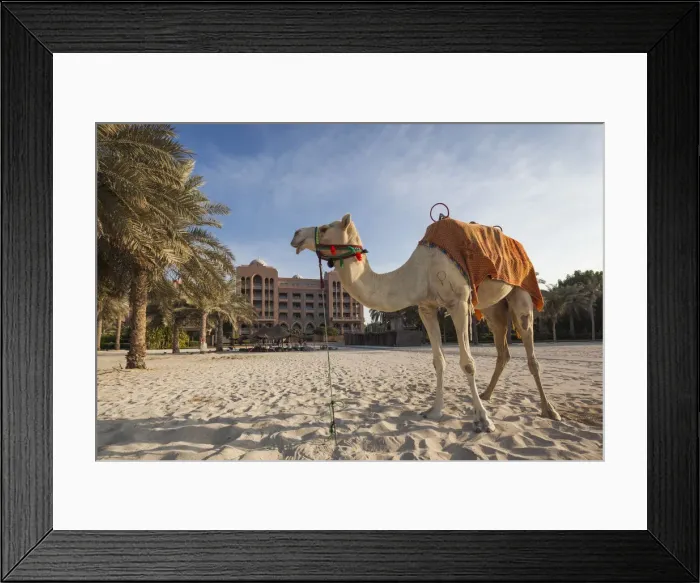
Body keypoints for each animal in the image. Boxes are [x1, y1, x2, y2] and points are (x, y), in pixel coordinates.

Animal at [290, 214, 560, 433]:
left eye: (325, 227)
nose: (296, 234)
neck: (418, 272)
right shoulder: (426, 308)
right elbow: (438, 361)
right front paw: (435, 411)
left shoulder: (458, 301)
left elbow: (468, 364)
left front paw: (483, 420)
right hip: (492, 308)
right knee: (502, 349)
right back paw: (486, 395)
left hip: (521, 292)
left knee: (530, 351)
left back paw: (549, 410)